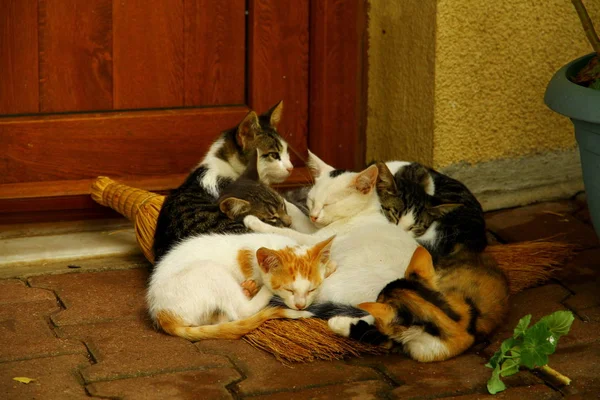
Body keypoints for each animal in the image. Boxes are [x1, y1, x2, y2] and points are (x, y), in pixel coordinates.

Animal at [145, 231, 332, 340]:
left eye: (312, 289)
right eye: (289, 289)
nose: (301, 306)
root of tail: (160, 312)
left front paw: (330, 267)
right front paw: (268, 285)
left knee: (223, 318)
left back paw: (246, 290)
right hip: (211, 270)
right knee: (241, 311)